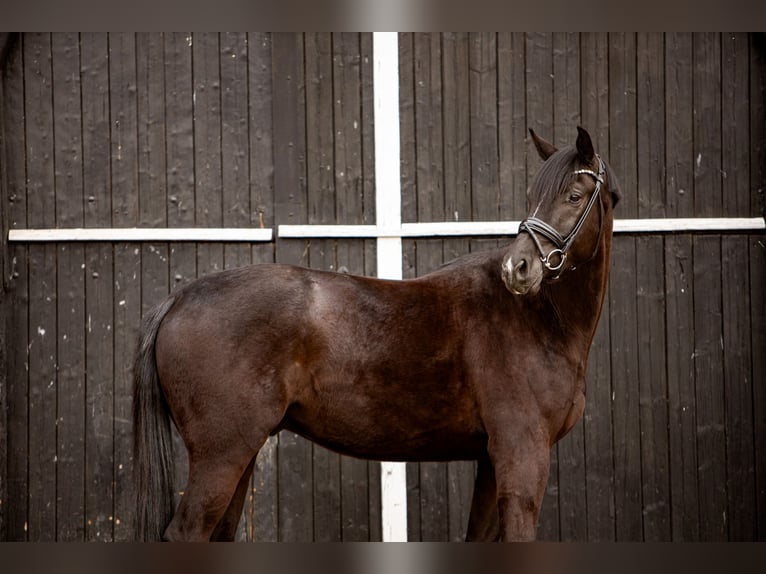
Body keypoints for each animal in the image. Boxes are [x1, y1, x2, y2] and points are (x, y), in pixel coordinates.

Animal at [133, 126, 620, 542]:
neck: (538, 318)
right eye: (534, 196)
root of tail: (179, 298)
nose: (517, 268)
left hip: (241, 453)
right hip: (223, 454)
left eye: (573, 195)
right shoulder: (522, 455)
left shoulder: (490, 460)